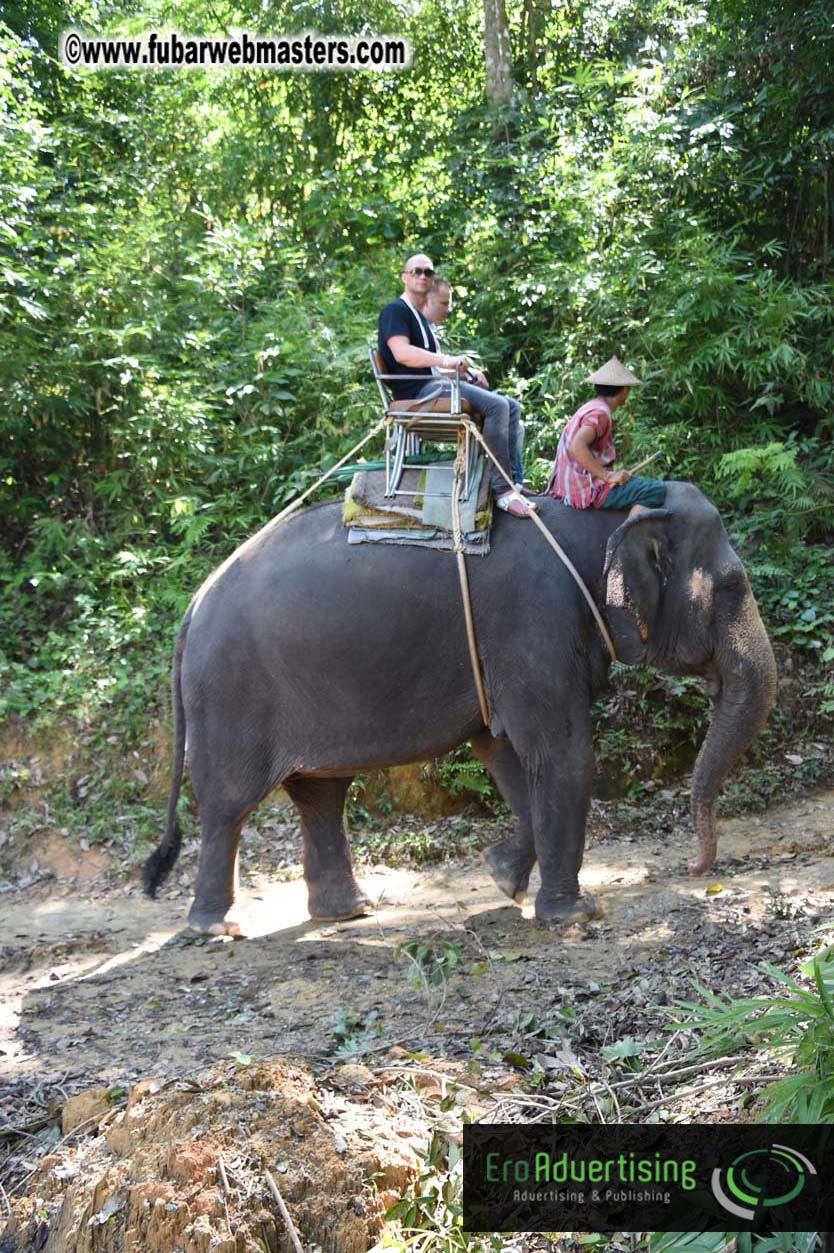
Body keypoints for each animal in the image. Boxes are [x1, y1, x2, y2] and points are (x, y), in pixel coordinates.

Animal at [143, 481, 777, 934]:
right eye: (731, 587)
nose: (695, 870)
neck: (598, 520)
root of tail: (193, 606)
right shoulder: (533, 624)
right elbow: (563, 754)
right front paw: (576, 915)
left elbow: (504, 754)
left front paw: (501, 879)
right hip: (231, 692)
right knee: (229, 803)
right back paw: (216, 928)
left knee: (321, 794)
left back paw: (347, 912)